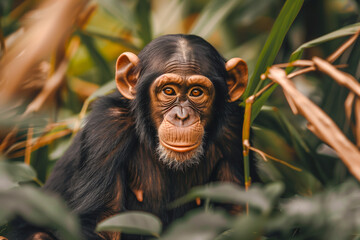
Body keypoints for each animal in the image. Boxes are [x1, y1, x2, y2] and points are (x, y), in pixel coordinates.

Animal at [13, 34, 250, 240]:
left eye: (196, 92)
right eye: (169, 91)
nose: (182, 116)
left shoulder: (235, 128)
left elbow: (239, 211)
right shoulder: (106, 128)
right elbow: (104, 223)